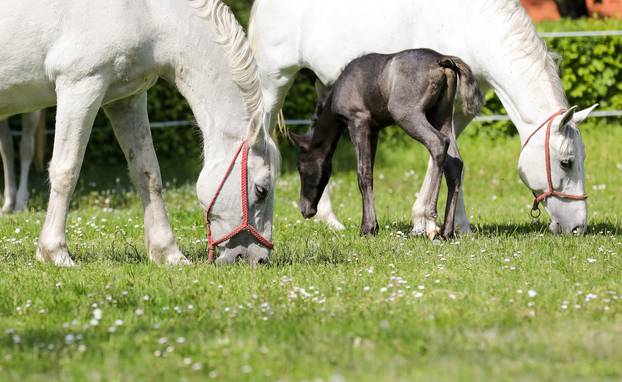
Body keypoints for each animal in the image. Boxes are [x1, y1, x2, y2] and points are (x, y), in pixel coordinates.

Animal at [0, 0, 278, 266]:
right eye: (261, 190)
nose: (259, 259)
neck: (147, 11)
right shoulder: (80, 86)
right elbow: (66, 171)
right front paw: (55, 253)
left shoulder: (126, 100)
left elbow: (148, 173)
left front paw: (169, 254)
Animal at [292, 49, 482, 237]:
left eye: (300, 168)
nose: (305, 210)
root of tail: (441, 60)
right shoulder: (374, 130)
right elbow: (370, 172)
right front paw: (372, 225)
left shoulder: (358, 121)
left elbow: (363, 173)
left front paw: (367, 228)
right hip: (441, 116)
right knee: (455, 163)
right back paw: (447, 231)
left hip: (408, 115)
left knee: (439, 144)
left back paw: (431, 221)